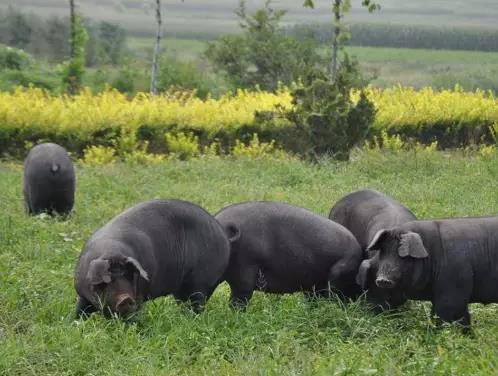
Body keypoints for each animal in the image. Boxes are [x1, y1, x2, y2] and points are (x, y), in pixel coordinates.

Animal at [75, 200, 231, 318]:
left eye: (128, 275)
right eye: (106, 281)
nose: (125, 298)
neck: (110, 250)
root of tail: (222, 234)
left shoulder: (139, 294)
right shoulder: (82, 293)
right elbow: (80, 309)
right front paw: (74, 323)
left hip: (201, 281)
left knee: (197, 302)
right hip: (181, 288)